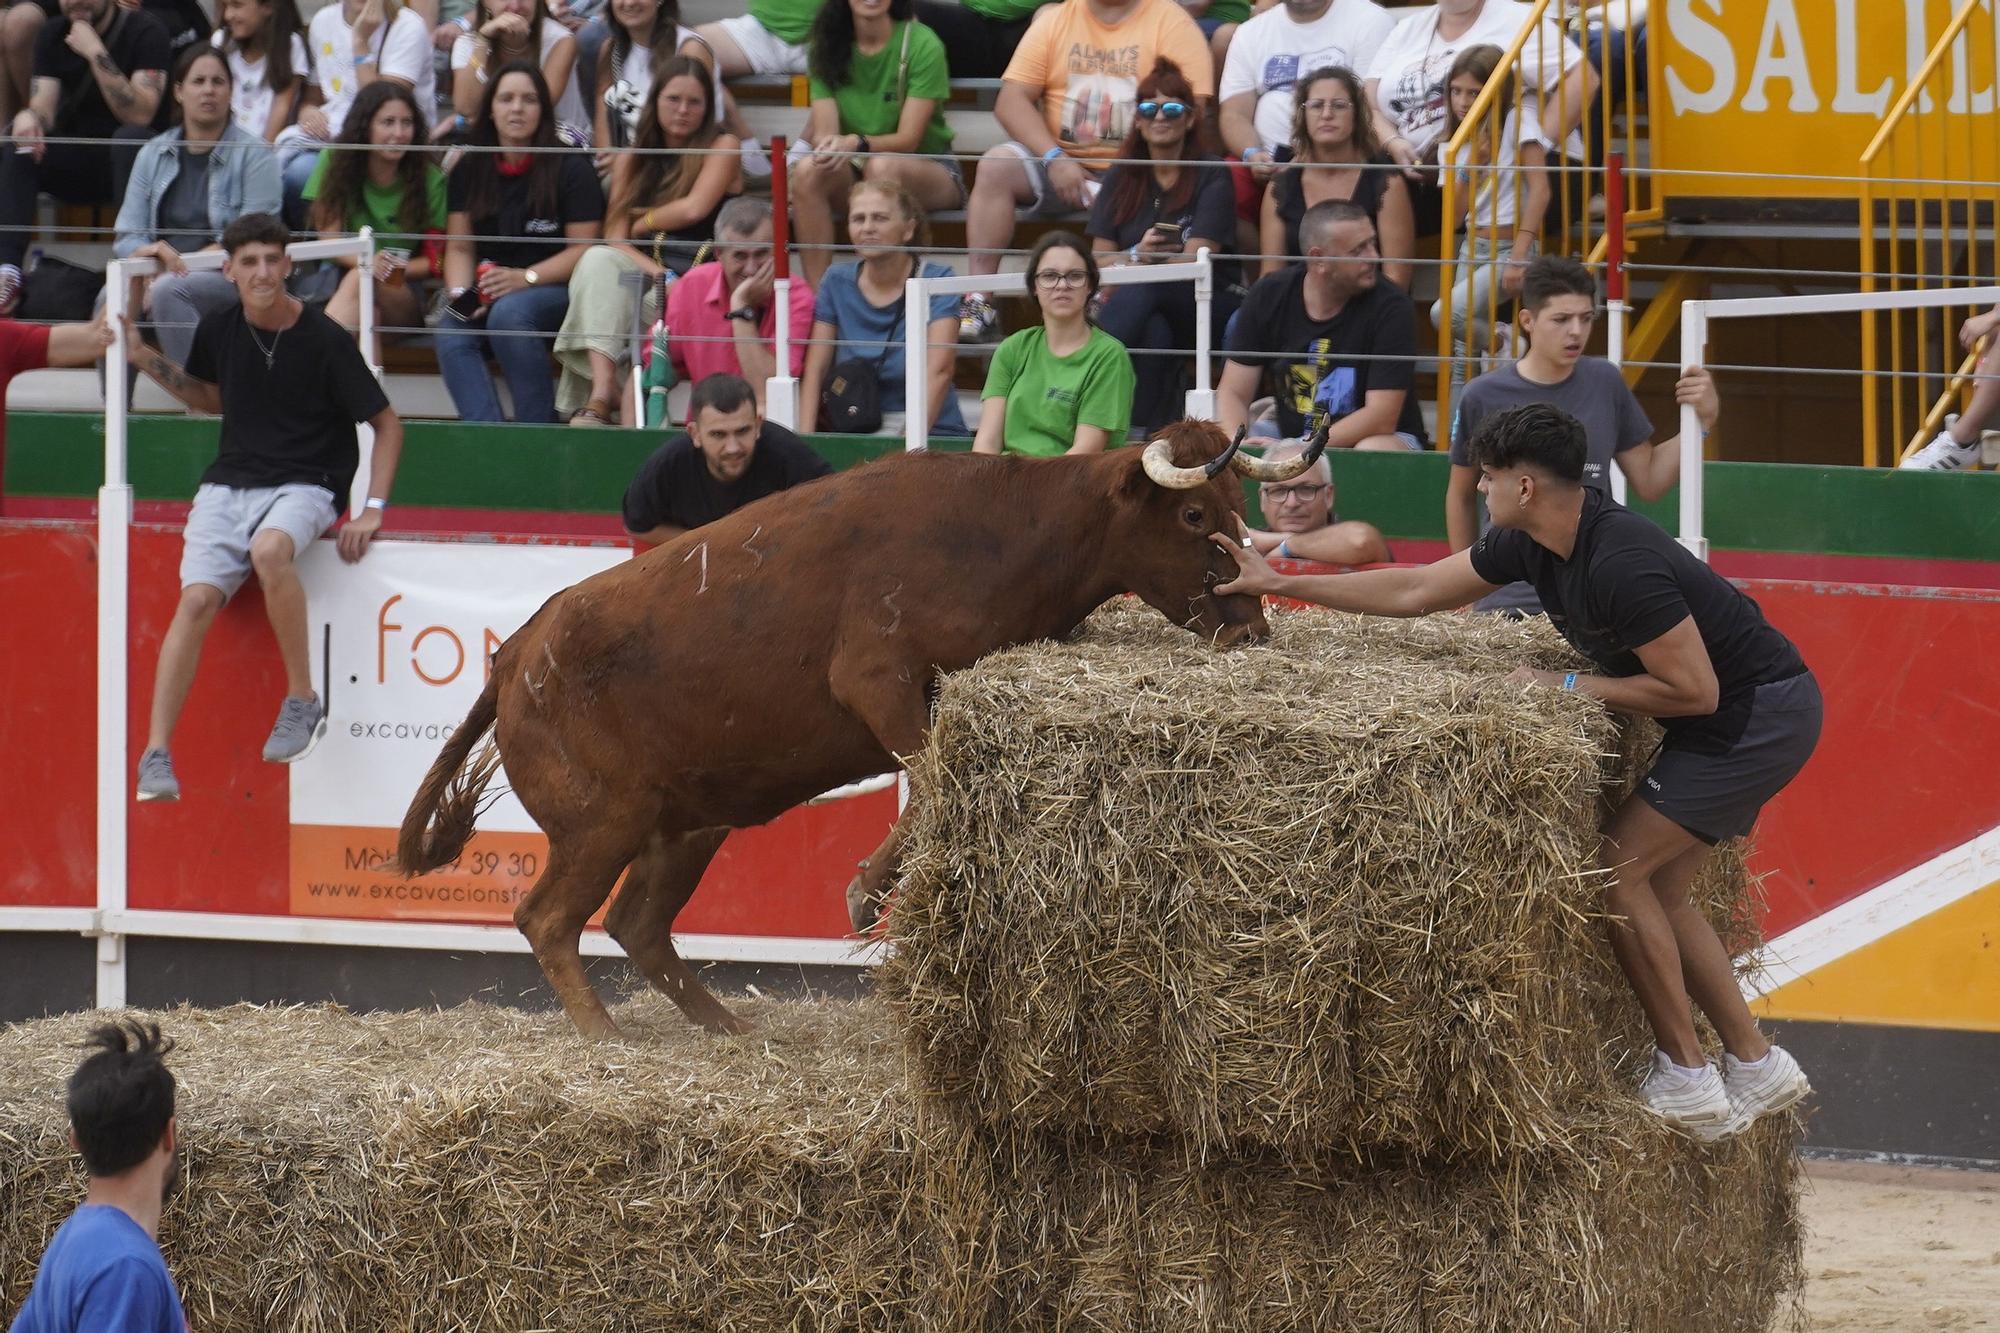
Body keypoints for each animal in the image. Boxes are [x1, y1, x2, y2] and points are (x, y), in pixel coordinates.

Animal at [396, 416, 1320, 1040]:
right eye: (1194, 517)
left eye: (1239, 504)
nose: (1252, 629)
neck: (1008, 527)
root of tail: (516, 653)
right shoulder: (878, 682)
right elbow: (933, 774)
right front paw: (865, 892)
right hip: (601, 823)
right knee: (548, 918)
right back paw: (604, 1037)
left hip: (685, 823)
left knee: (637, 926)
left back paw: (728, 1031)